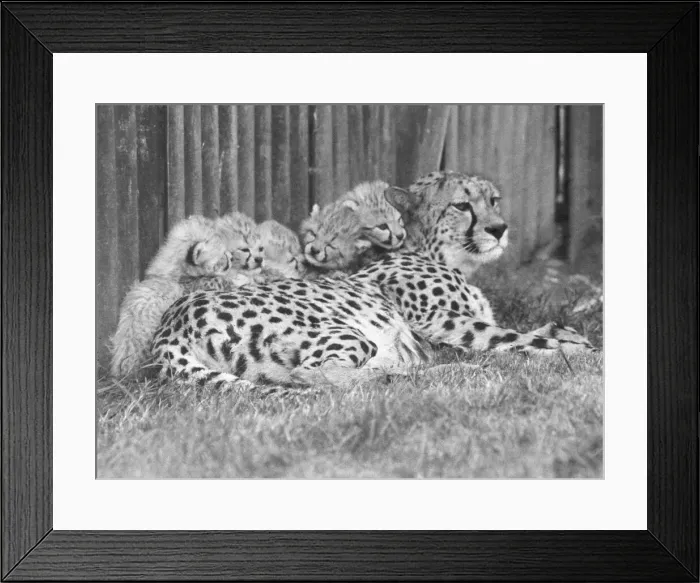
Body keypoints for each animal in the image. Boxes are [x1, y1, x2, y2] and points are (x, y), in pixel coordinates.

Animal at [147, 171, 595, 393]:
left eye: (493, 200)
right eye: (461, 205)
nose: (499, 229)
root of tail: (171, 324)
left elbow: (538, 329)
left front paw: (572, 337)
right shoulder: (441, 323)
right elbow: (517, 338)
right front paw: (584, 355)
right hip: (347, 333)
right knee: (316, 377)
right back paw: (451, 373)